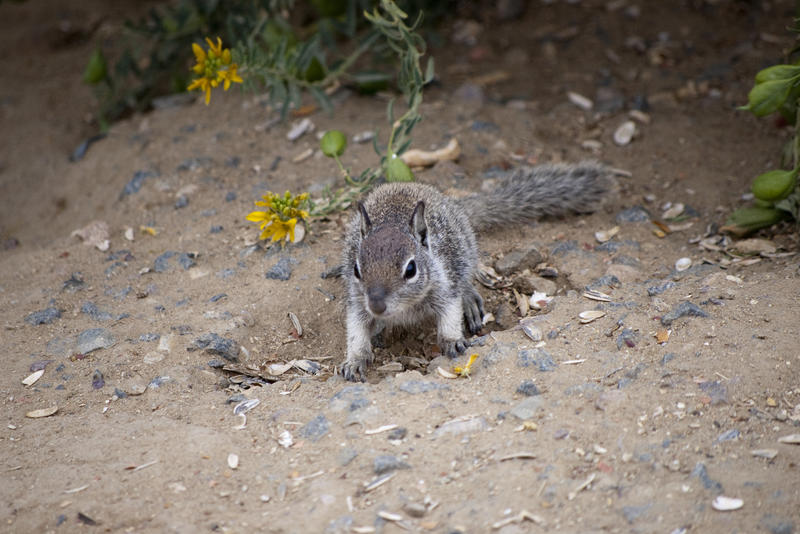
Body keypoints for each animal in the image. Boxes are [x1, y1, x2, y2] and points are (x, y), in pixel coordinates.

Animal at [340, 161, 616, 384]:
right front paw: (354, 360)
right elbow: (356, 329)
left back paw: (470, 301)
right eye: (356, 269)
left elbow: (450, 313)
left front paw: (452, 340)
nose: (377, 305)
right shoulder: (358, 301)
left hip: (465, 256)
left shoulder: (445, 288)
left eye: (410, 269)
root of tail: (453, 204)